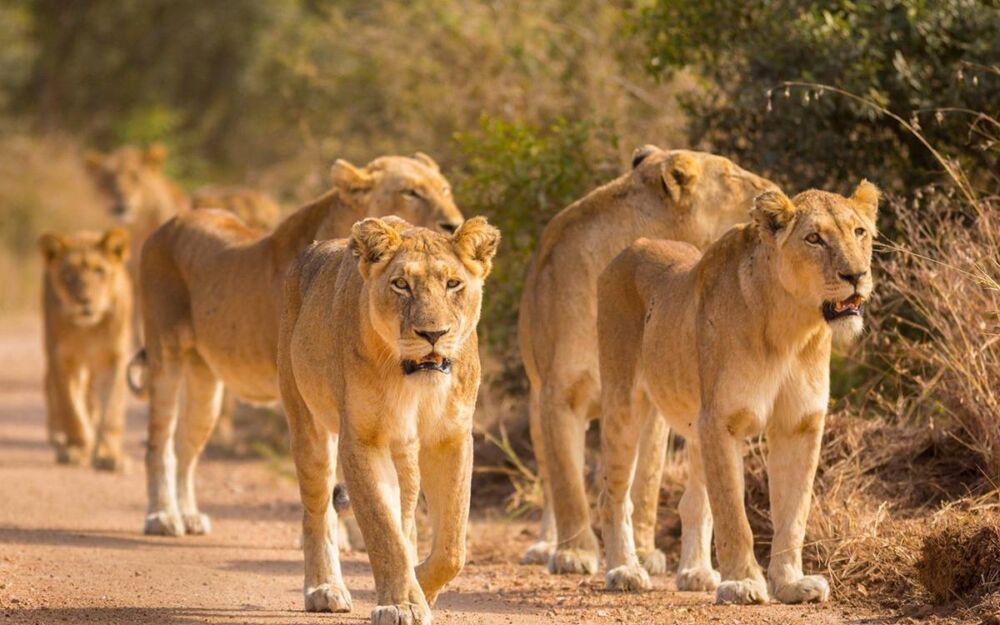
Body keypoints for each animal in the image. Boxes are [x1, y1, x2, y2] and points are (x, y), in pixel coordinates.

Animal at [39, 227, 134, 470]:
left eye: (99, 271)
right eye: (69, 274)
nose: (84, 300)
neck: (88, 329)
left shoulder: (115, 359)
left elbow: (110, 410)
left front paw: (109, 455)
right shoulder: (61, 359)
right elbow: (71, 408)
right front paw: (78, 448)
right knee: (55, 391)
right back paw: (59, 436)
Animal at [135, 152, 466, 536]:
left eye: (445, 189)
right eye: (410, 191)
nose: (453, 224)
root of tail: (168, 223)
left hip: (204, 379)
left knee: (185, 445)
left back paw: (188, 515)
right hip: (166, 353)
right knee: (158, 443)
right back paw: (162, 516)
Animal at [276, 213, 498, 620]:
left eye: (453, 283)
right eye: (401, 285)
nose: (433, 334)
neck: (411, 379)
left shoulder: (450, 437)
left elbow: (452, 547)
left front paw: (421, 588)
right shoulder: (362, 439)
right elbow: (382, 529)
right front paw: (402, 603)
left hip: (405, 451)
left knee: (406, 515)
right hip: (308, 423)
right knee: (317, 512)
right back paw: (324, 589)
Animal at [520, 144, 776, 572]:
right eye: (731, 175)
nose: (776, 190)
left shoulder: (652, 404)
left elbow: (647, 481)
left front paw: (642, 550)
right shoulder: (559, 395)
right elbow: (567, 483)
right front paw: (576, 553)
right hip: (537, 403)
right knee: (550, 477)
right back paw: (545, 545)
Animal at [596, 180, 880, 600]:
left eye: (859, 232)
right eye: (814, 238)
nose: (857, 274)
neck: (792, 329)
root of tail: (629, 248)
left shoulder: (799, 425)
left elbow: (793, 513)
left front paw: (791, 583)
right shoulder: (722, 420)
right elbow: (733, 512)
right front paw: (744, 582)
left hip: (694, 423)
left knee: (693, 503)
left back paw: (696, 572)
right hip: (625, 402)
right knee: (615, 495)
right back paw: (624, 571)